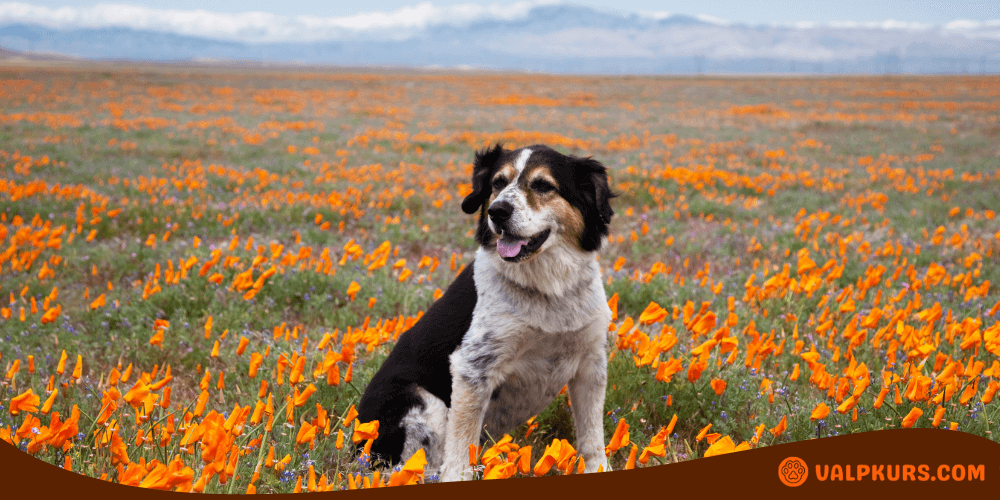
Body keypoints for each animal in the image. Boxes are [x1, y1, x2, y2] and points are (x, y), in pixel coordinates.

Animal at [356, 143, 612, 482]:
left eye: (543, 185)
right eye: (497, 183)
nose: (498, 211)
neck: (548, 291)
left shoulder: (590, 362)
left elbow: (592, 436)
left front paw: (600, 469)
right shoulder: (473, 367)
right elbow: (461, 444)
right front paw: (459, 477)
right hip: (421, 401)